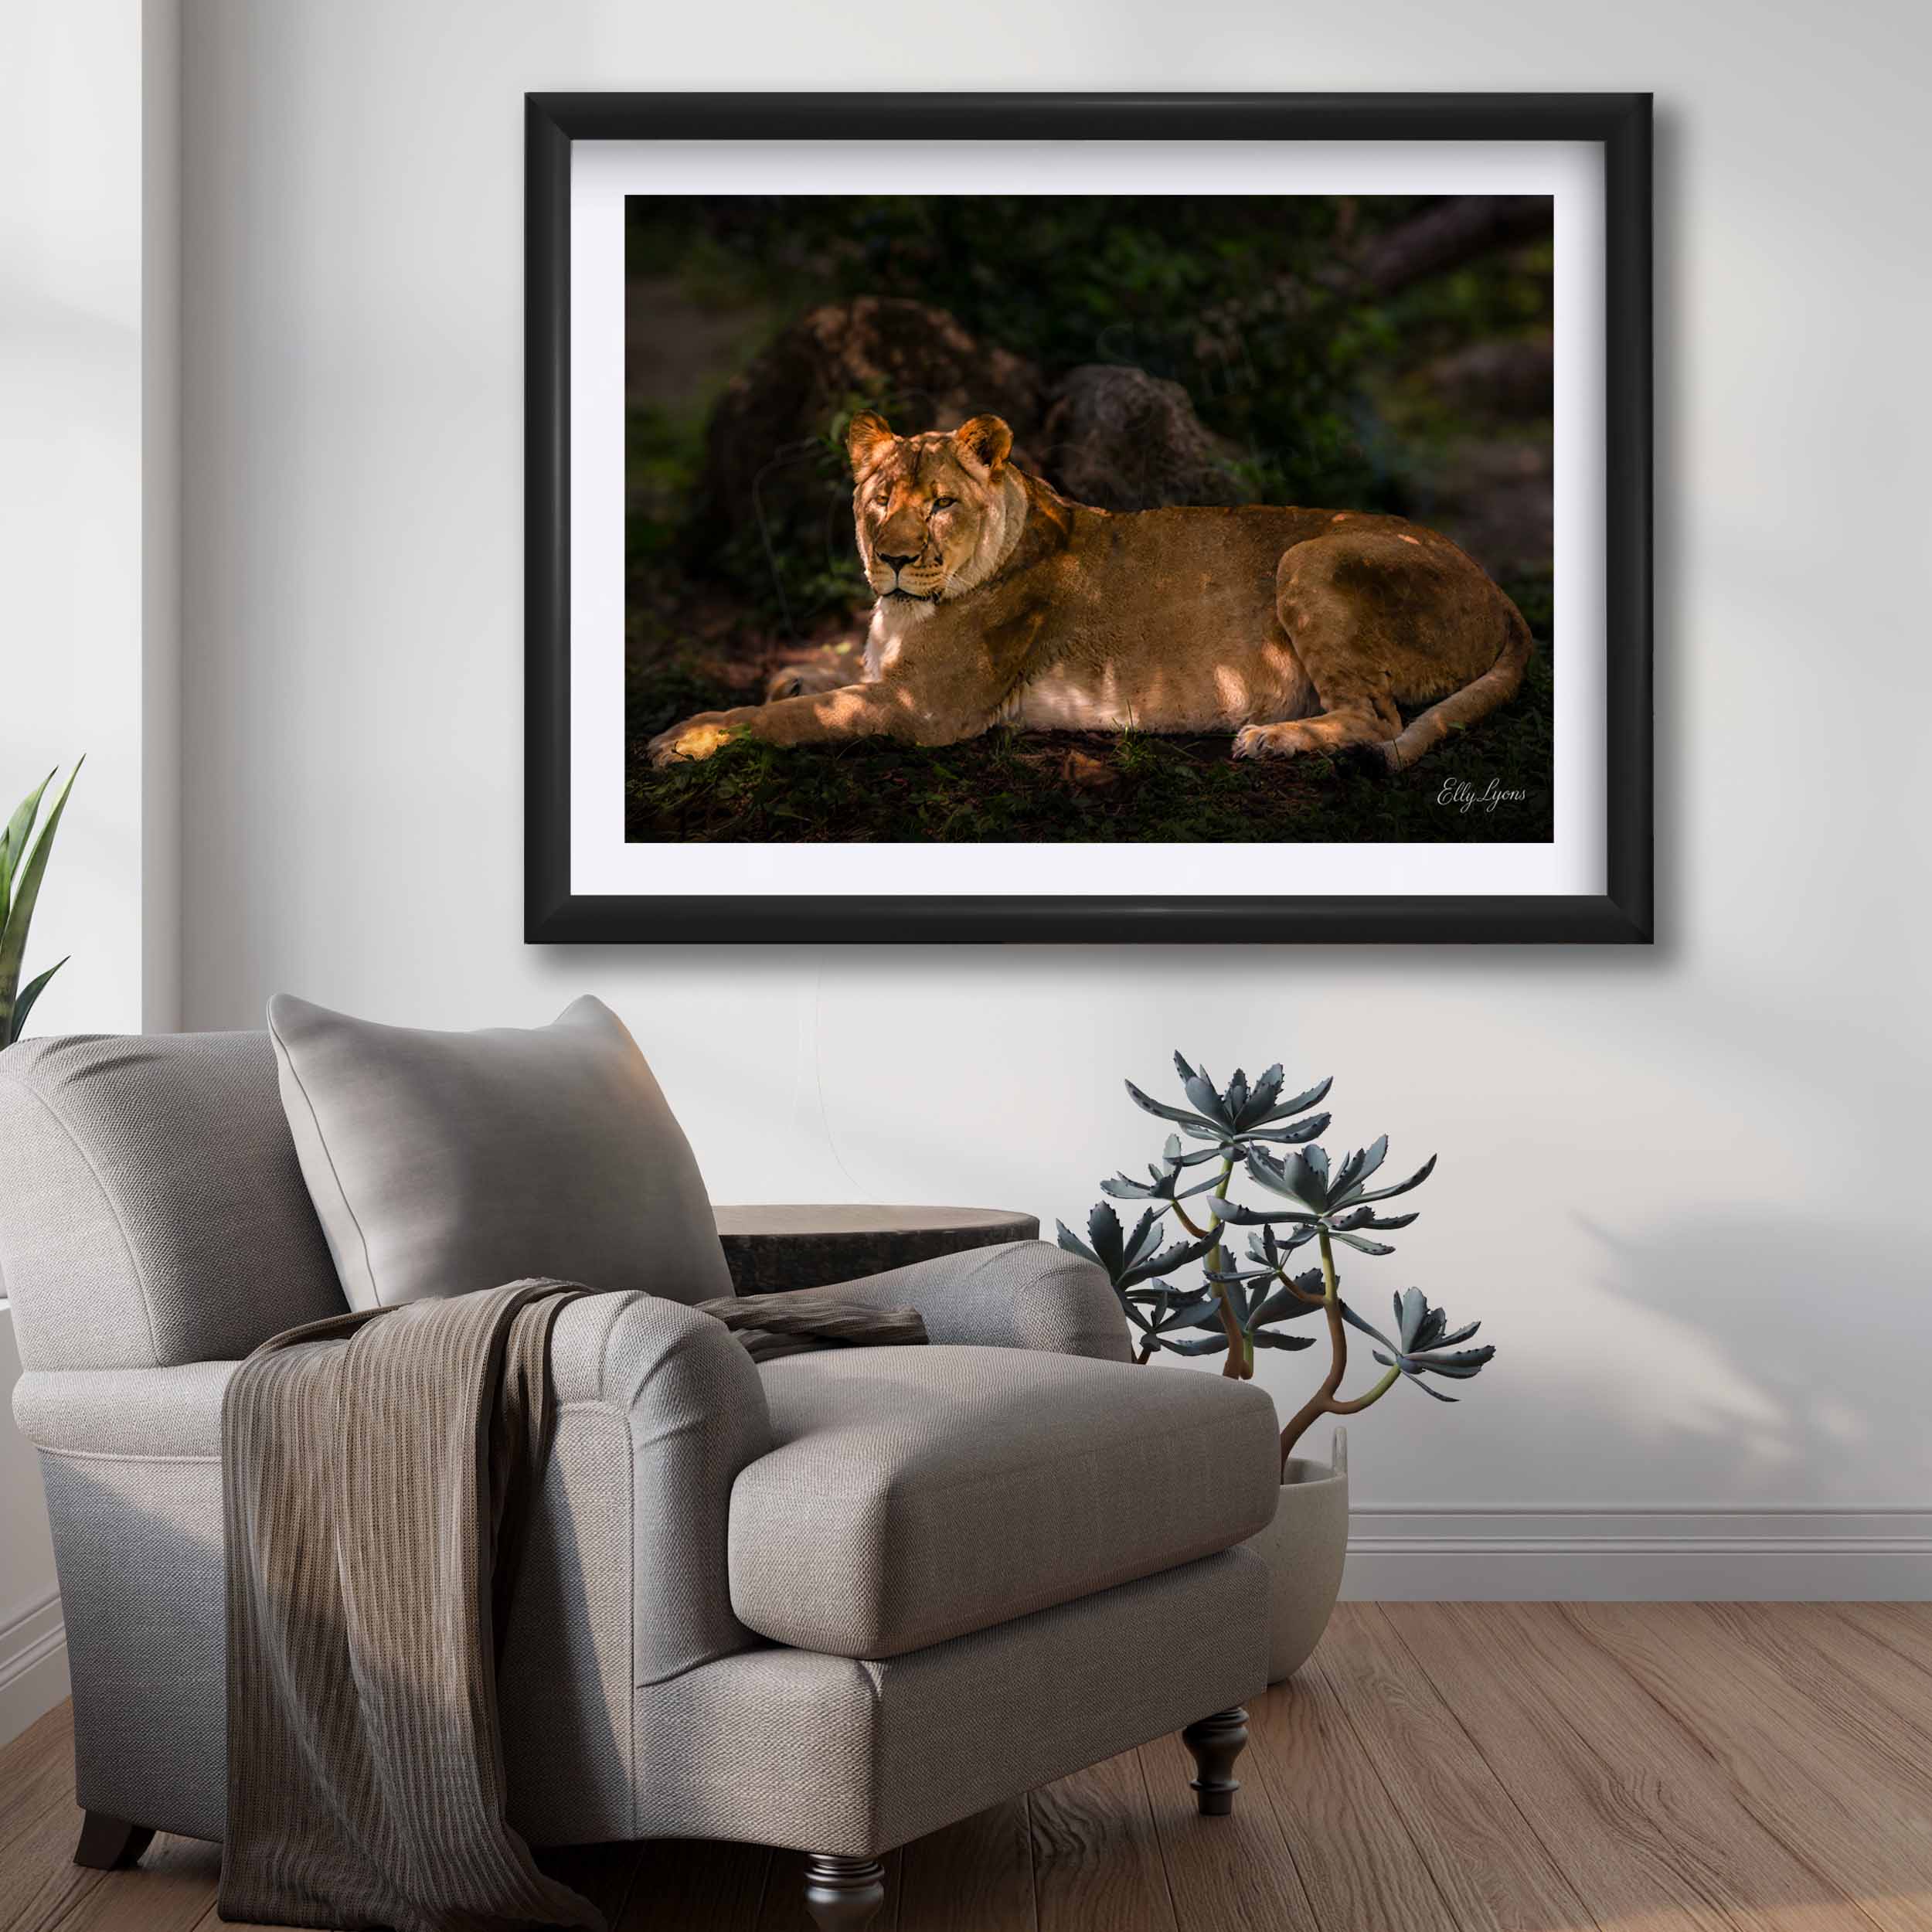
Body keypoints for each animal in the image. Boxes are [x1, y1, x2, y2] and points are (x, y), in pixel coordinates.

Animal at [648, 410, 1532, 773]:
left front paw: (688, 736)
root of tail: (1495, 587)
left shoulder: (921, 710)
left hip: (1311, 558)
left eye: (940, 504)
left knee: (1378, 717)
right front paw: (794, 669)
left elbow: (792, 717)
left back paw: (1274, 739)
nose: (893, 559)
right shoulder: (890, 676)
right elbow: (824, 679)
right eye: (881, 496)